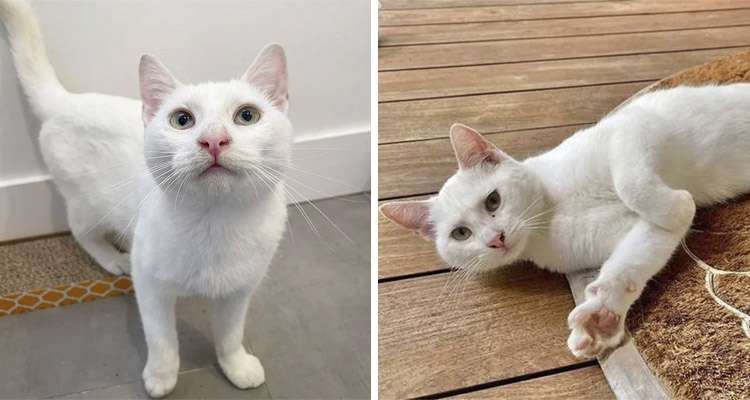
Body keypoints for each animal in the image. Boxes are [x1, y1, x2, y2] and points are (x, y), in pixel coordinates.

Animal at [382, 83, 750, 360]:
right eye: (460, 233)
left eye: (493, 200)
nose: (495, 239)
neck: (548, 216)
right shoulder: (631, 232)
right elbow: (635, 258)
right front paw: (603, 315)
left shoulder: (631, 129)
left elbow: (633, 186)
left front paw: (680, 204)